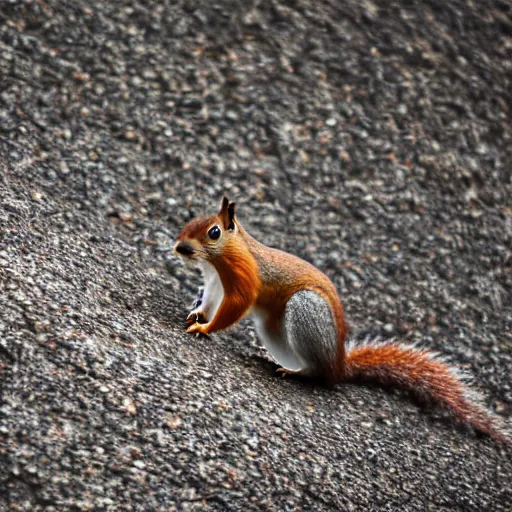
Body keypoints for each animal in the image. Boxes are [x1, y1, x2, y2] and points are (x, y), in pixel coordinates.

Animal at [174, 197, 510, 444]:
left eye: (214, 232)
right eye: (189, 222)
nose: (179, 247)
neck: (220, 259)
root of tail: (340, 364)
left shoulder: (244, 275)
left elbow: (236, 305)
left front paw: (205, 327)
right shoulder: (215, 283)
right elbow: (211, 300)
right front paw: (198, 314)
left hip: (305, 309)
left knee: (320, 374)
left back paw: (297, 373)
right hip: (274, 330)